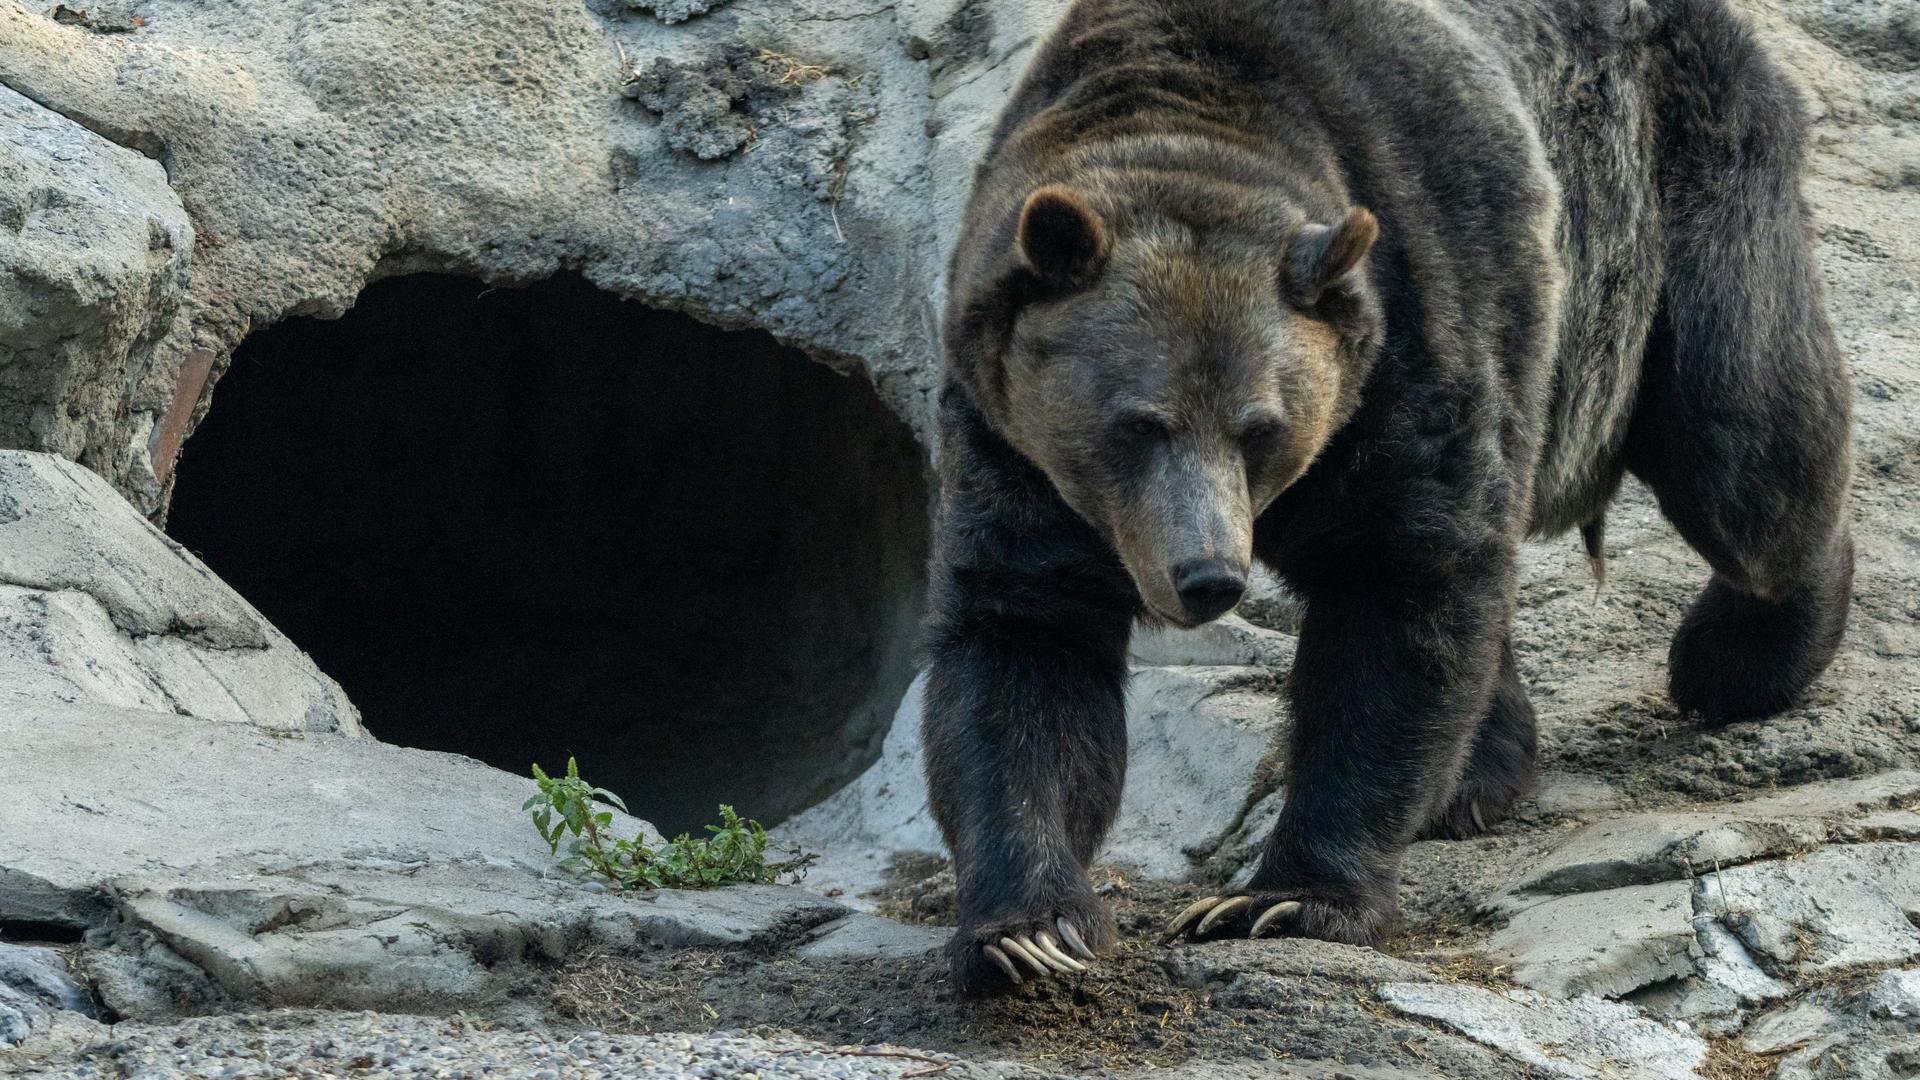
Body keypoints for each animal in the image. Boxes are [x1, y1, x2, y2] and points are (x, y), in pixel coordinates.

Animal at [924, 0, 1855, 993]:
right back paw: (1483, 770)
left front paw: (1284, 898)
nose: (1207, 575)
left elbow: (1399, 592)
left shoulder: (1417, 316)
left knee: (1744, 438)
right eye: (1139, 423)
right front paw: (1028, 930)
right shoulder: (1009, 442)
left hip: (1665, 200)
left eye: (1259, 426)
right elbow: (1024, 644)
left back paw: (1739, 654)